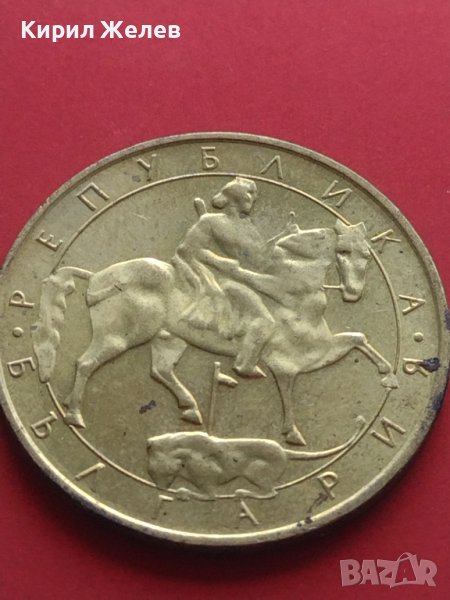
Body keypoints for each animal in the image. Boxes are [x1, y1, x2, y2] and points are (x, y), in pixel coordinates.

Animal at [32, 218, 398, 445]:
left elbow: (359, 339)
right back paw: (75, 414)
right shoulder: (288, 362)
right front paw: (292, 433)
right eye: (343, 251)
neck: (294, 289)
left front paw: (389, 375)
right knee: (85, 364)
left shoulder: (318, 349)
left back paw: (190, 408)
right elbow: (291, 392)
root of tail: (96, 276)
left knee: (160, 370)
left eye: (366, 255)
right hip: (119, 337)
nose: (353, 293)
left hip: (170, 339)